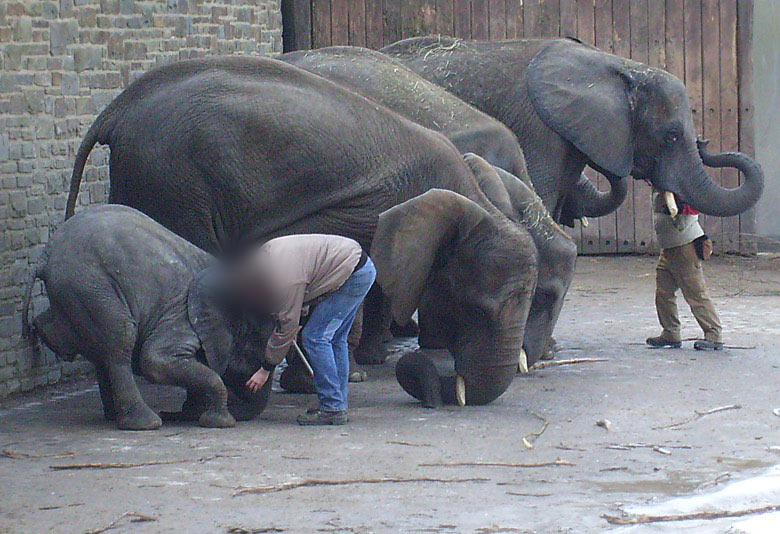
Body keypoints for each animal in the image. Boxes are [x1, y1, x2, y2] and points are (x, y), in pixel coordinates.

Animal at [21, 205, 274, 432]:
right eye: (255, 353)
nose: (173, 413)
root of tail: (46, 255)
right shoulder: (181, 315)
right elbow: (155, 360)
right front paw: (219, 422)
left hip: (79, 291)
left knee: (99, 350)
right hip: (89, 285)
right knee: (120, 341)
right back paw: (146, 423)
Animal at [64, 56, 540, 406]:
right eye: (477, 307)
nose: (433, 380)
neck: (471, 199)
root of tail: (117, 109)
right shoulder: (353, 212)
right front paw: (314, 384)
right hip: (172, 180)